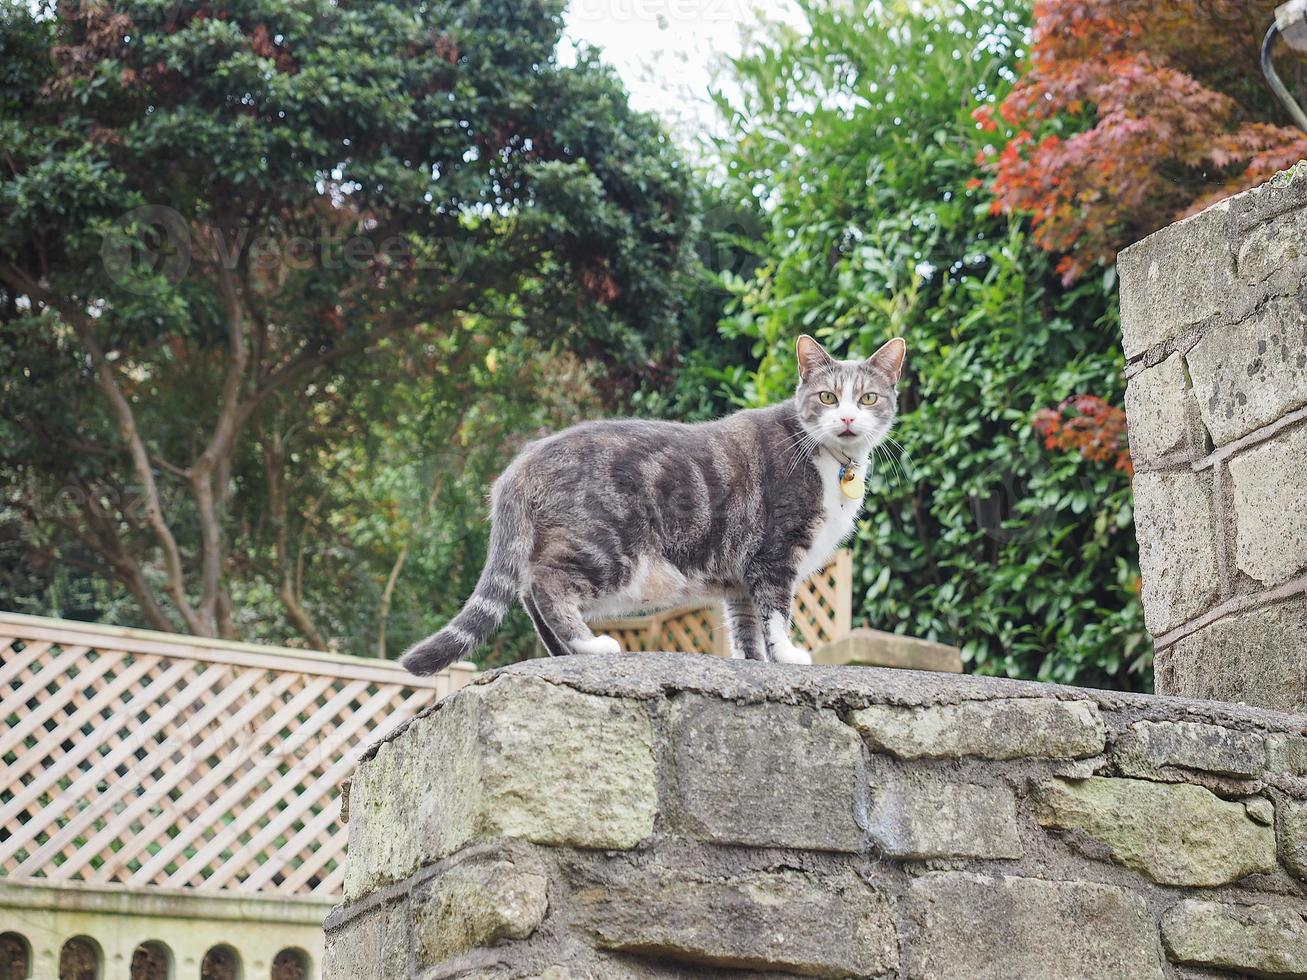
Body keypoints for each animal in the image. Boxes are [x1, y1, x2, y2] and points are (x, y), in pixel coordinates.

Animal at [402, 337, 904, 674]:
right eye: (827, 397)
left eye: (868, 398)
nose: (847, 417)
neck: (831, 460)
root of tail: (521, 463)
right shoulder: (775, 554)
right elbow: (776, 614)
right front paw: (789, 655)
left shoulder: (741, 578)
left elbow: (746, 626)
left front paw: (754, 663)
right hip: (607, 547)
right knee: (546, 584)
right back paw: (589, 646)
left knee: (527, 592)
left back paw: (567, 653)